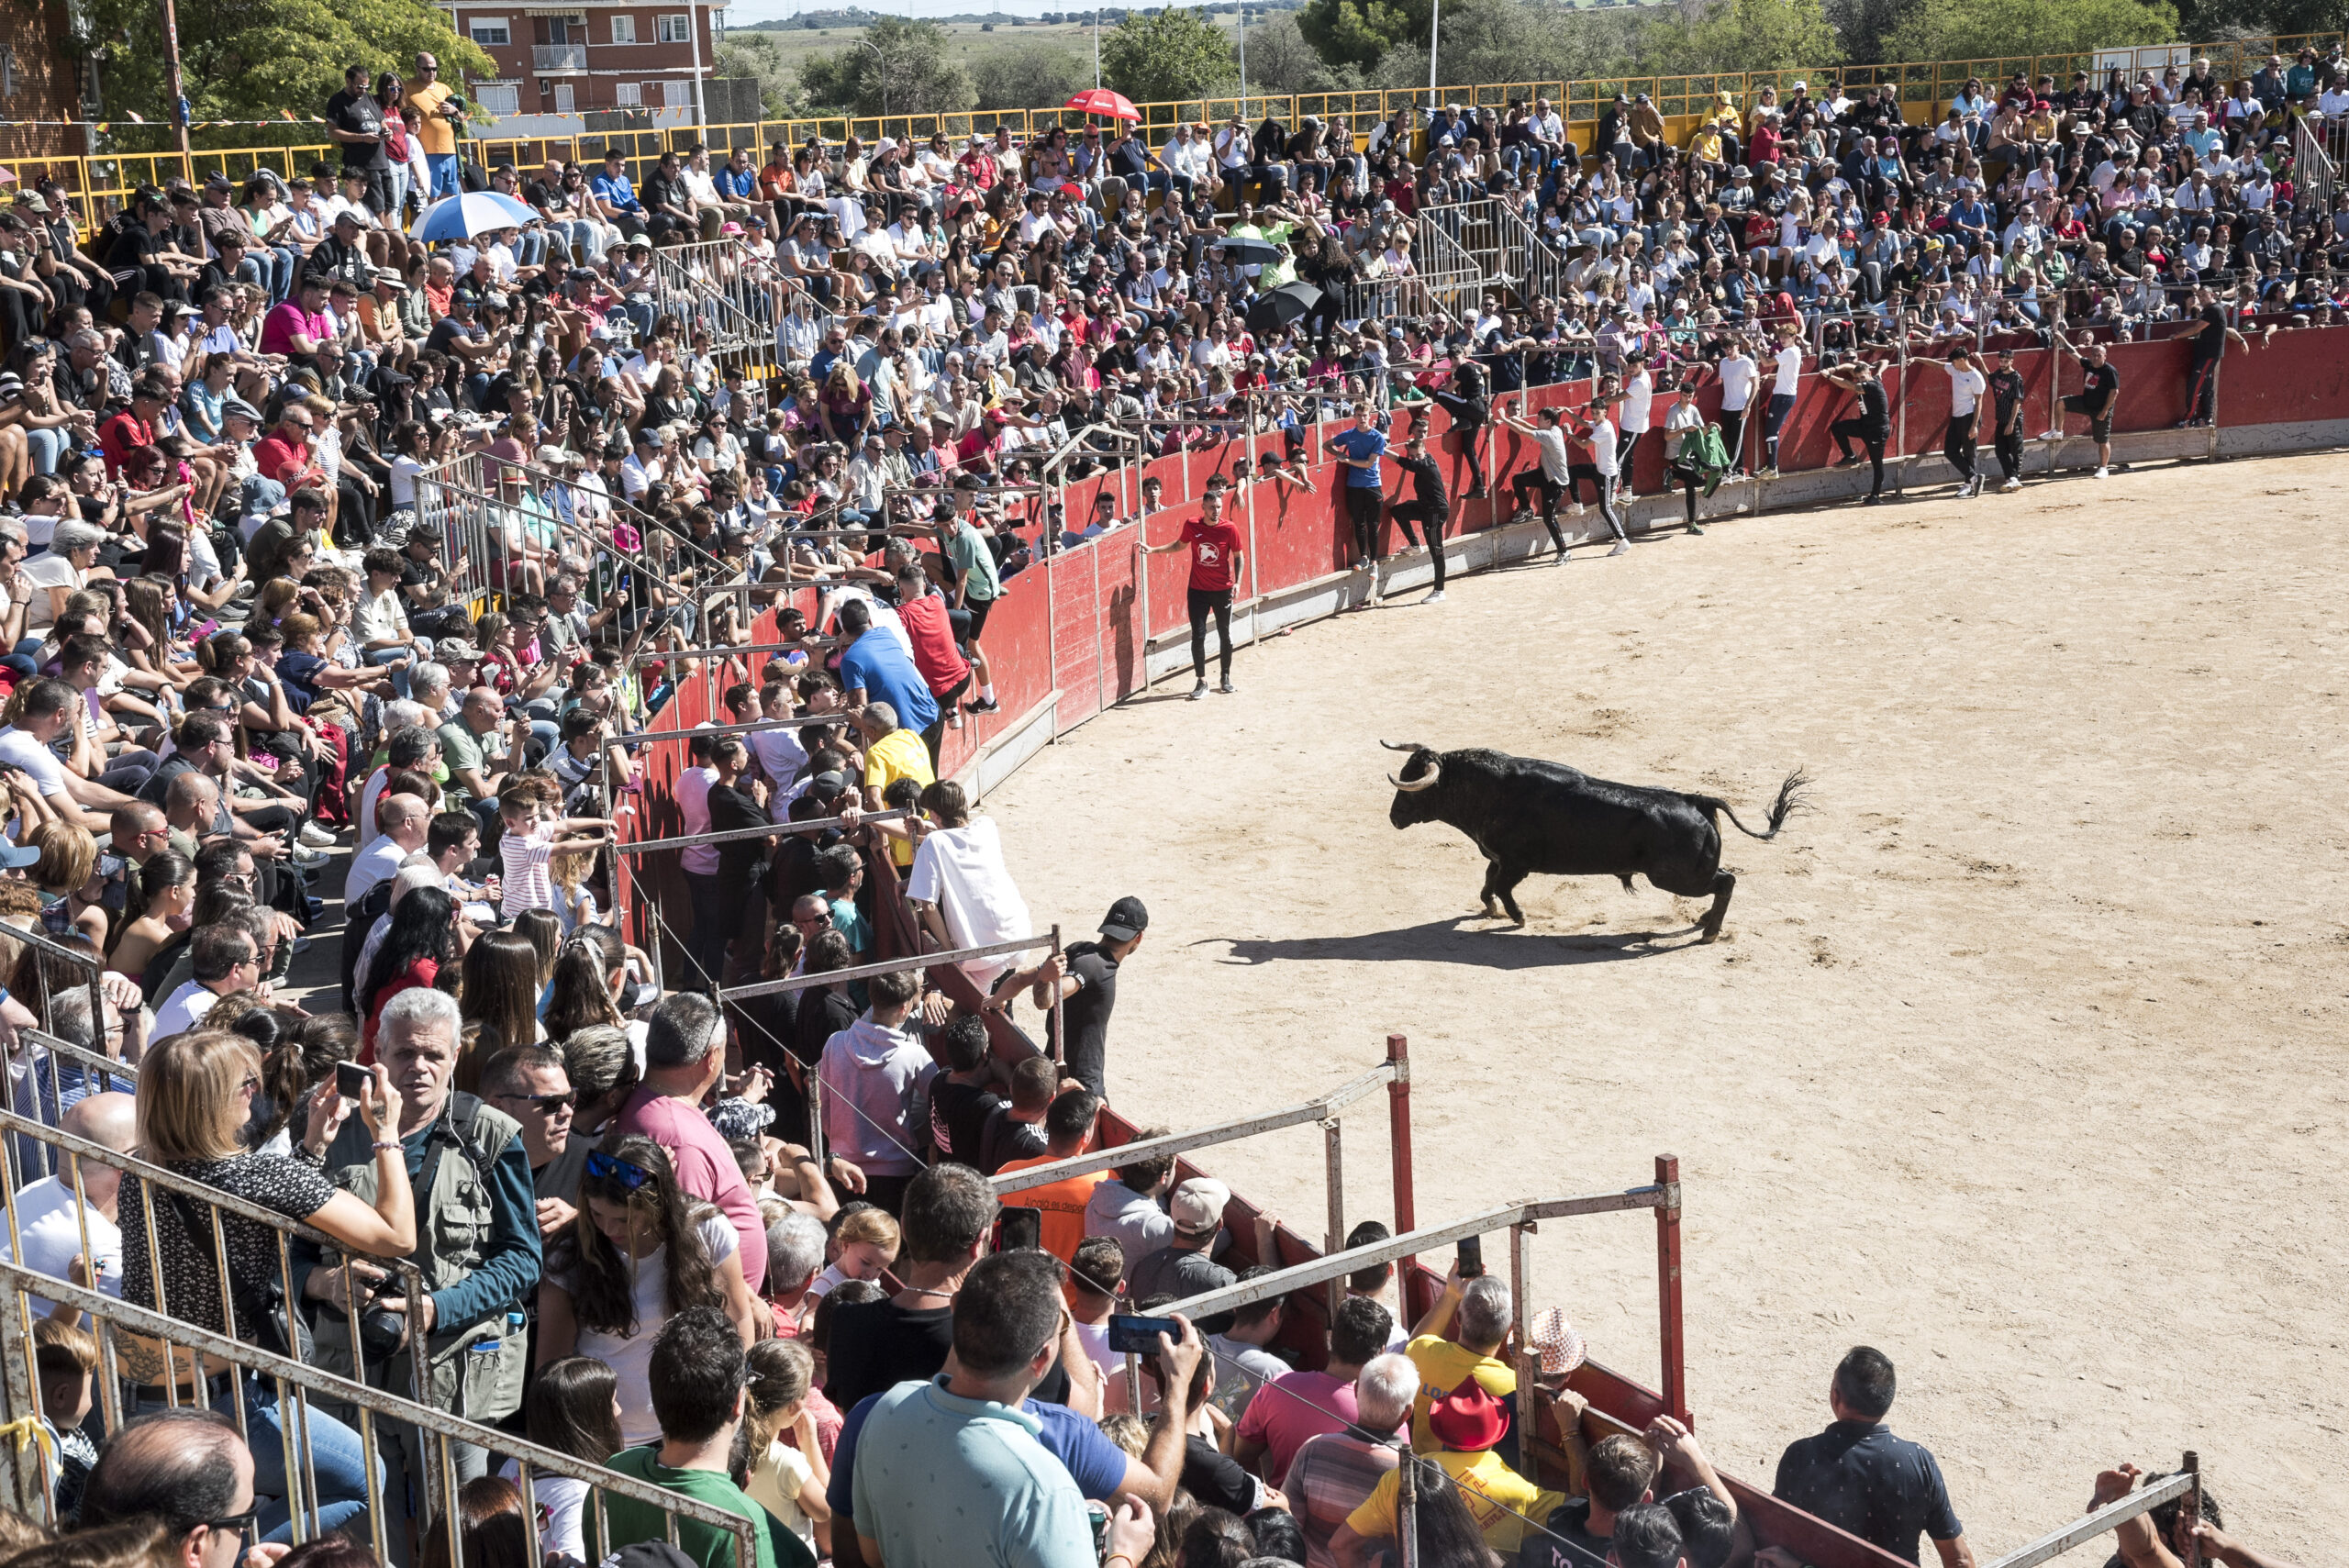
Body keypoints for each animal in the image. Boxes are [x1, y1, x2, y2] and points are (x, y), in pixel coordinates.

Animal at [1381, 746, 1804, 943]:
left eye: (1413, 787)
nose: (1394, 818)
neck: (1490, 792)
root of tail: (1695, 799)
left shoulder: (1516, 864)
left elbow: (1501, 887)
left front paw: (1518, 917)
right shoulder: (1499, 858)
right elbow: (1488, 884)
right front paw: (1490, 910)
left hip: (1676, 878)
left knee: (1726, 882)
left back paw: (1709, 932)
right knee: (1722, 883)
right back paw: (1703, 921)